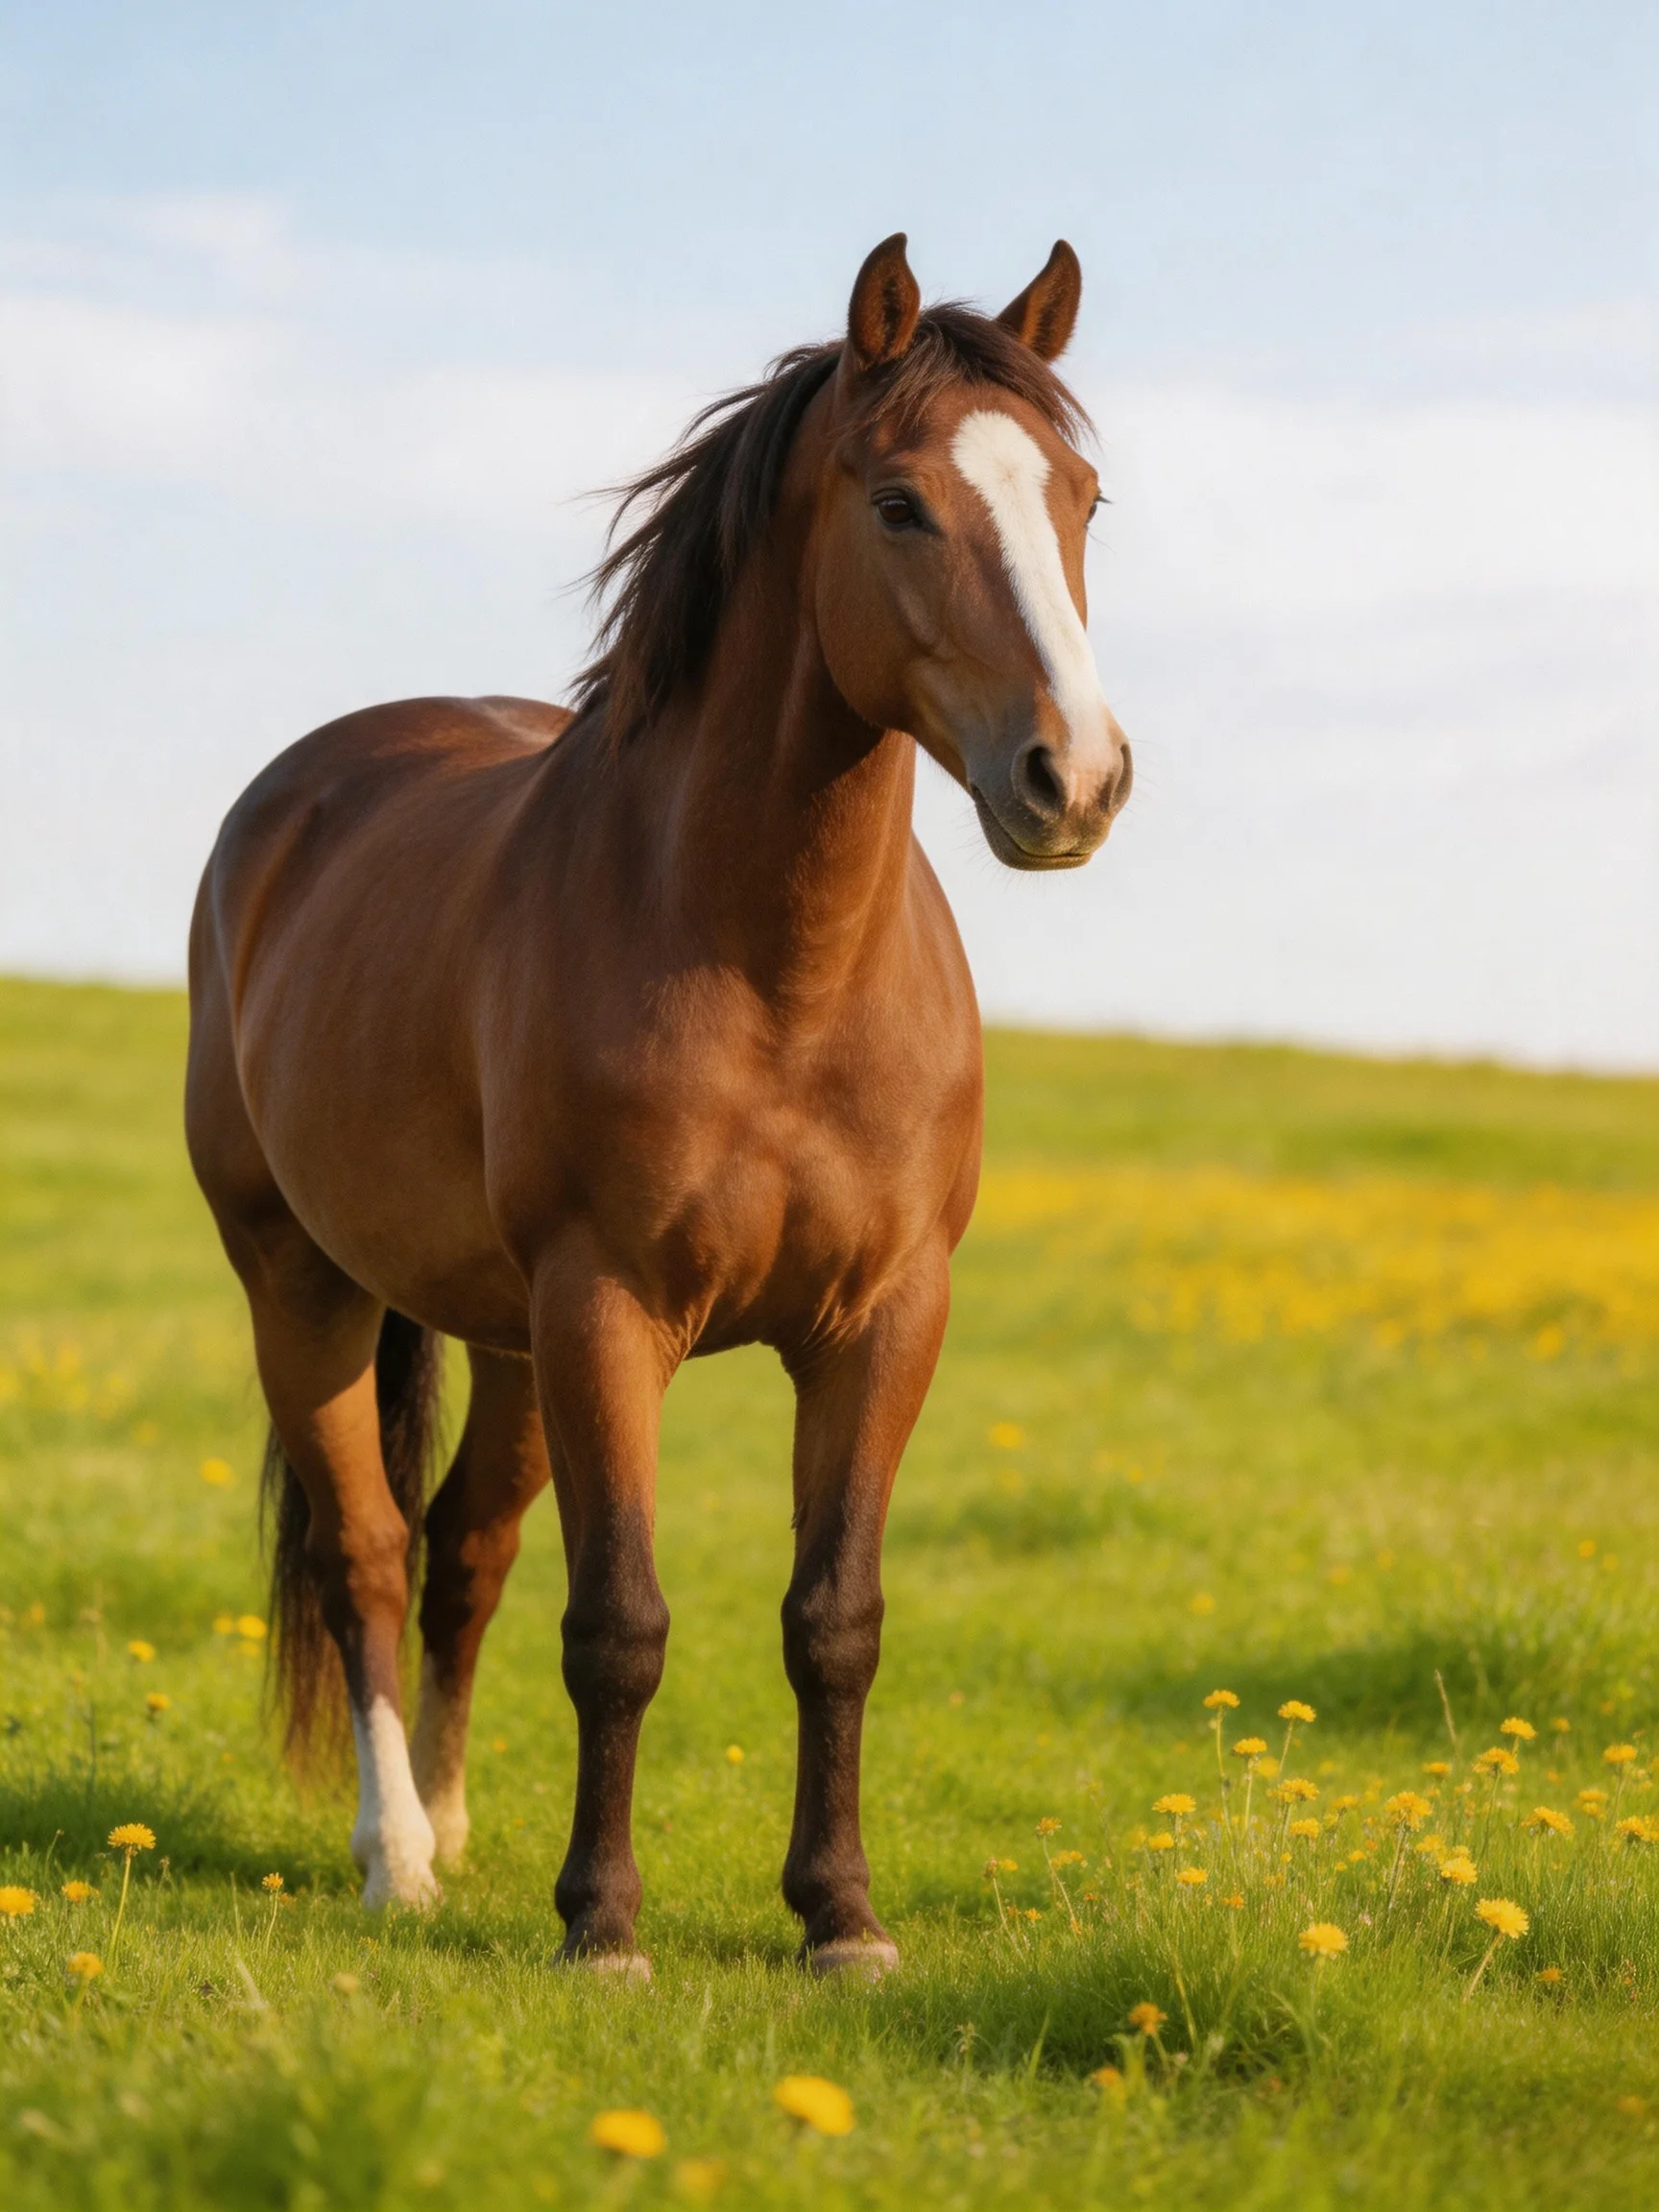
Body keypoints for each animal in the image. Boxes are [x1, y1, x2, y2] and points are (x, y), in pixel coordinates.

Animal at [185, 233, 1131, 1977]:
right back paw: (396, 1854)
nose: (1076, 779)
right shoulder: (608, 1308)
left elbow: (835, 1620)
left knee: (464, 1549)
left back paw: (452, 1822)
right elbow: (617, 1624)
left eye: (1082, 495)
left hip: (498, 1336)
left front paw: (841, 1918)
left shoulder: (883, 1320)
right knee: (367, 1553)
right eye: (899, 503)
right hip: (303, 1284)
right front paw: (603, 1925)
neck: (773, 970)